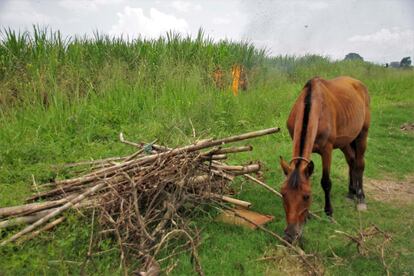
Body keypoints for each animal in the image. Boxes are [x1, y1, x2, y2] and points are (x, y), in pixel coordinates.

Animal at [280, 75, 370, 242]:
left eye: (306, 196)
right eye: (283, 194)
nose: (291, 234)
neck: (313, 106)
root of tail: (358, 83)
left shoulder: (326, 150)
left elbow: (326, 182)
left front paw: (329, 212)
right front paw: (308, 216)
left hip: (362, 133)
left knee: (359, 164)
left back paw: (360, 198)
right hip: (345, 141)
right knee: (351, 161)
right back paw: (351, 192)